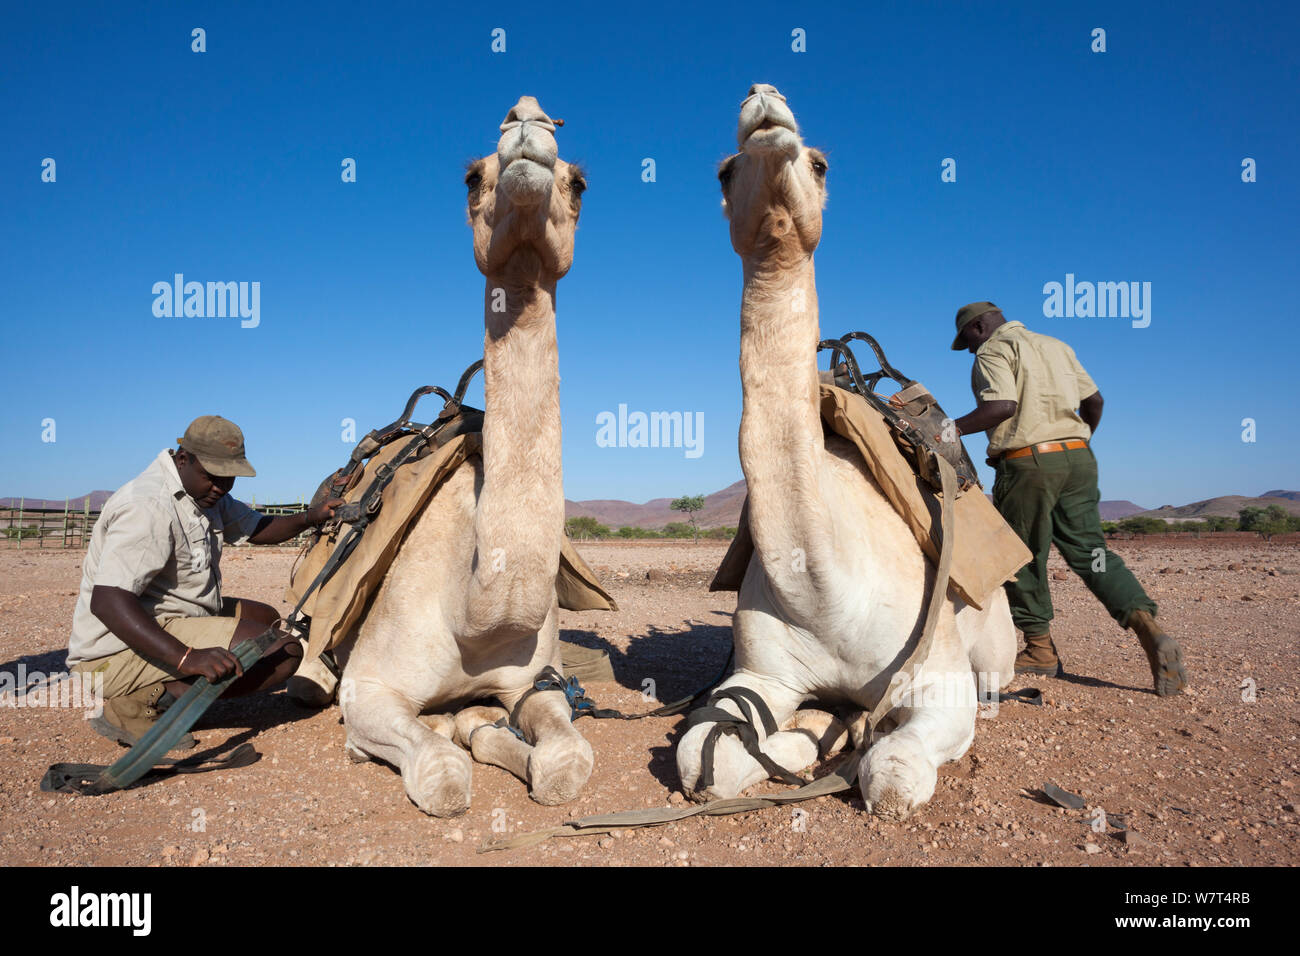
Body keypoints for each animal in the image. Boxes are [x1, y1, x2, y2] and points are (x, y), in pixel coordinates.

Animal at [338, 95, 595, 816]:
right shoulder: (365, 686)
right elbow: (442, 775)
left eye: (579, 183)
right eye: (471, 177)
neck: (472, 615)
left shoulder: (536, 679)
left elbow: (567, 761)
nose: (529, 118)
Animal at [676, 83, 1019, 822]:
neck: (824, 589)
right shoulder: (761, 674)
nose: (764, 101)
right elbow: (703, 756)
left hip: (994, 648)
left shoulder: (935, 680)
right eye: (724, 171)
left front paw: (846, 738)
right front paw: (810, 731)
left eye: (822, 163)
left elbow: (891, 775)